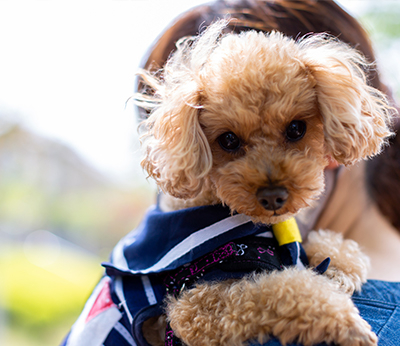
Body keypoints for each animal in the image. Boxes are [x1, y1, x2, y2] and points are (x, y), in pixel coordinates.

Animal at [135, 21, 394, 346]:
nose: (273, 197)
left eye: (296, 128)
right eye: (228, 140)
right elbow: (275, 290)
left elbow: (328, 247)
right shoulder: (196, 306)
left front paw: (338, 271)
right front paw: (346, 323)